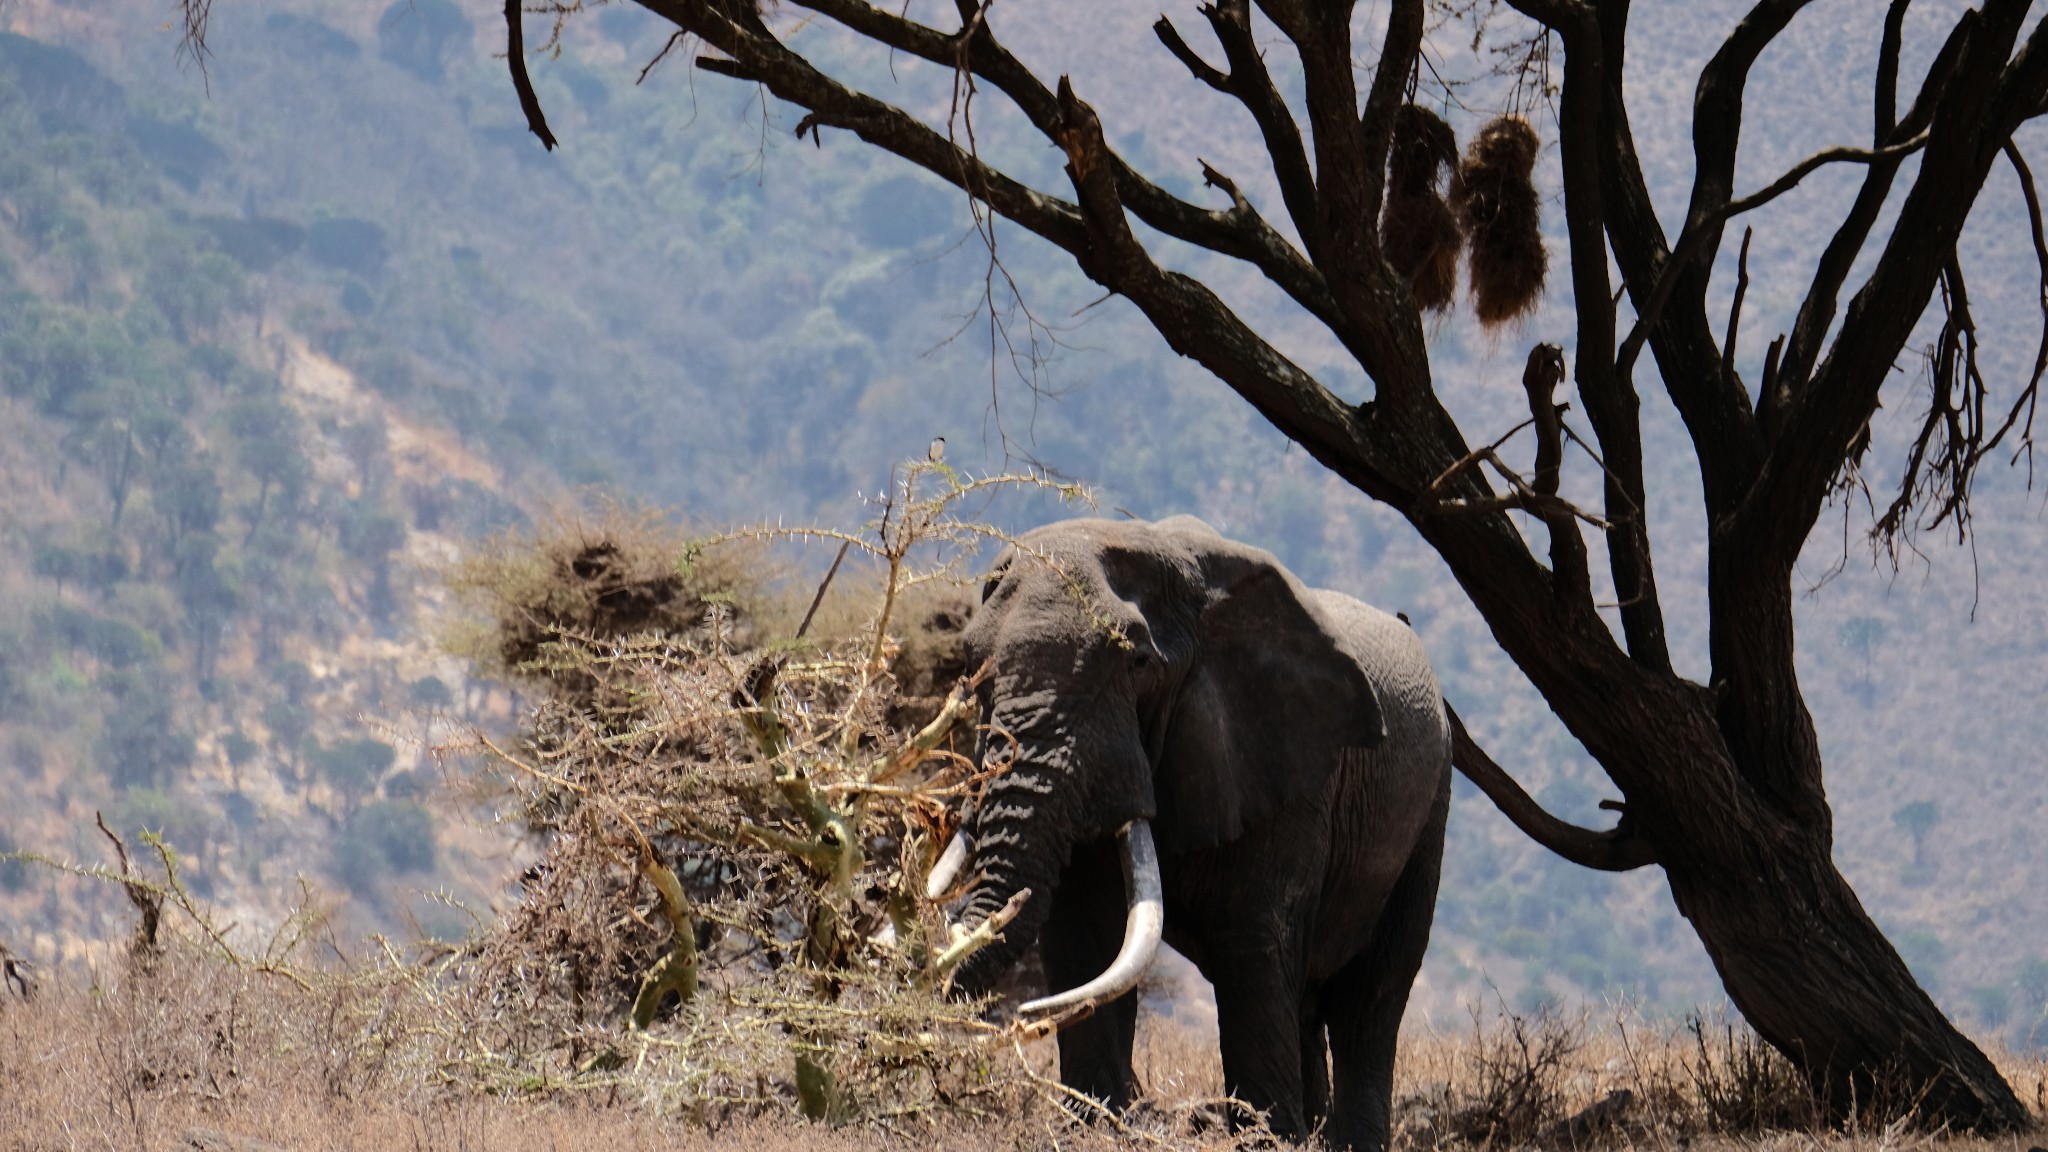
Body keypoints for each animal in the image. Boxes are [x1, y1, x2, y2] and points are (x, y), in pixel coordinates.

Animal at [946, 512, 1458, 1147]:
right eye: (969, 663)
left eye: (1138, 663)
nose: (1020, 1014)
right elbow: (1086, 938)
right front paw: (1093, 1128)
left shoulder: (1285, 760)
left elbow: (1252, 940)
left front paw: (1266, 1142)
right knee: (1309, 1002)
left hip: (1432, 802)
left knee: (1371, 998)